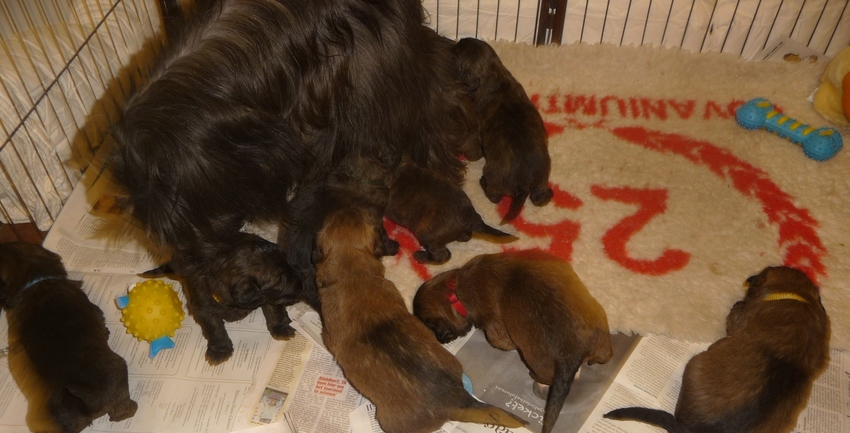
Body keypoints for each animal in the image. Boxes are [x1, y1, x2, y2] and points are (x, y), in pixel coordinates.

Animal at [0, 242, 137, 432]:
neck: (35, 280)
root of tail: (85, 402)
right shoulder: (95, 311)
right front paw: (107, 332)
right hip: (119, 373)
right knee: (120, 414)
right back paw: (133, 407)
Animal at [413, 249, 613, 433]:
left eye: (429, 326)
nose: (439, 341)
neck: (455, 290)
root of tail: (572, 354)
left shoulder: (494, 330)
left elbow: (501, 340)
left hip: (536, 359)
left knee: (544, 375)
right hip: (601, 328)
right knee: (606, 355)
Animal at [451, 38, 553, 222]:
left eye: (457, 54)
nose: (454, 44)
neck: (495, 76)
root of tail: (523, 186)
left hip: (492, 174)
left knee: (495, 196)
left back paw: (483, 183)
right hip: (542, 181)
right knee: (539, 198)